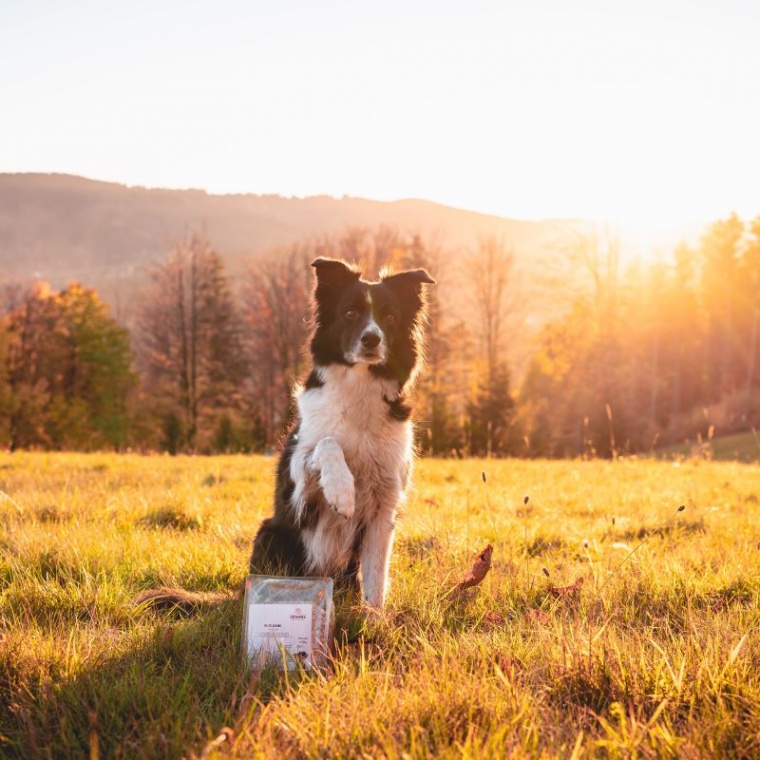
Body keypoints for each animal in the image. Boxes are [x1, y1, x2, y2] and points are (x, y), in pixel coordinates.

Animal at [251, 256, 434, 612]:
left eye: (390, 317)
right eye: (350, 313)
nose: (371, 339)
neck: (359, 386)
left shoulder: (384, 508)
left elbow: (376, 578)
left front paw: (374, 619)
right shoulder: (298, 487)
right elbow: (327, 442)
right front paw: (342, 492)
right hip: (271, 532)